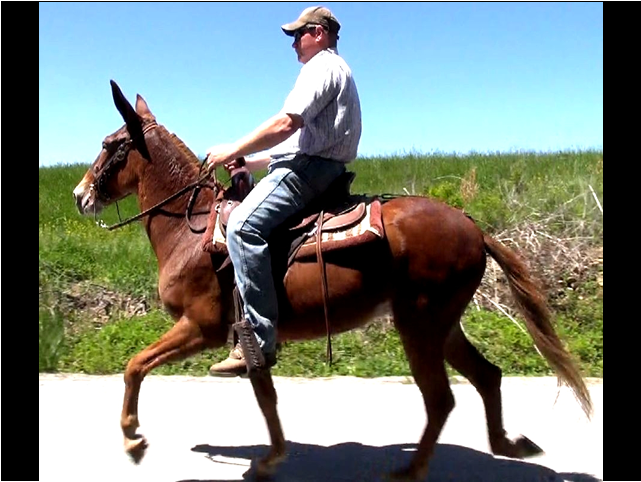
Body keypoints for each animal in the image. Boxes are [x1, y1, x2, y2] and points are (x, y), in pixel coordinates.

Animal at [72, 80, 593, 481]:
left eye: (108, 145)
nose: (79, 195)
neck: (191, 227)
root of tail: (473, 227)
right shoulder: (250, 336)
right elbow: (266, 398)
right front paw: (271, 459)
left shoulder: (202, 327)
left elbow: (135, 365)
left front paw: (133, 438)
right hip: (442, 324)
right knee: (486, 377)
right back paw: (510, 445)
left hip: (420, 324)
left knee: (441, 398)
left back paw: (412, 470)